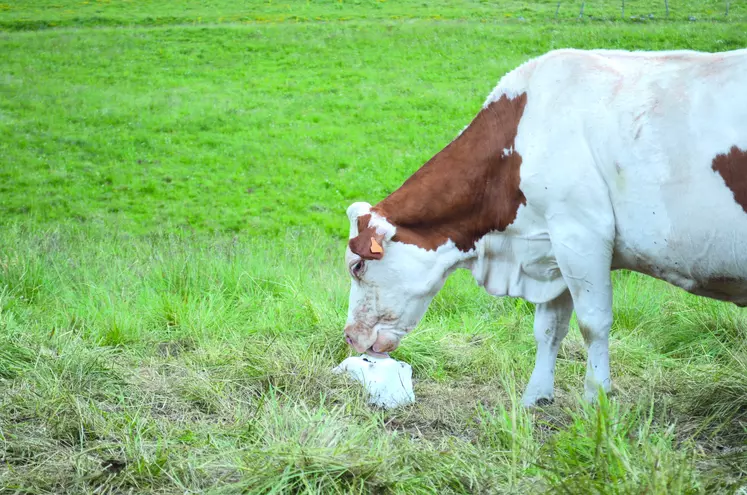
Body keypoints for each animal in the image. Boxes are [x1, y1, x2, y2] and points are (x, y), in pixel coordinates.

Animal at [344, 47, 747, 406]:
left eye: (358, 266)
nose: (348, 337)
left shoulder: (580, 234)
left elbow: (593, 323)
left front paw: (596, 399)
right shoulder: (552, 247)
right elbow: (549, 329)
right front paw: (535, 397)